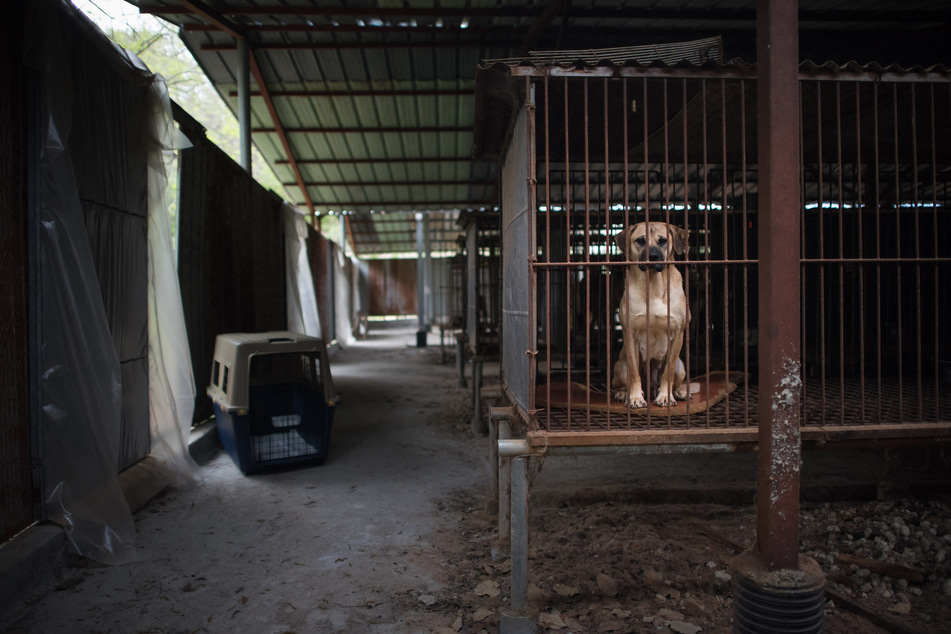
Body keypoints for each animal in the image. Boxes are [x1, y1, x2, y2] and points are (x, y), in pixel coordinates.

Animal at [608, 222, 692, 408]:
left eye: (663, 241)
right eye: (640, 240)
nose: (652, 256)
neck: (654, 285)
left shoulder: (678, 334)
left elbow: (667, 372)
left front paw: (666, 396)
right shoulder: (630, 334)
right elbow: (634, 374)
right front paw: (635, 398)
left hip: (681, 366)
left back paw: (679, 392)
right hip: (620, 366)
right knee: (620, 382)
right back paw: (622, 394)